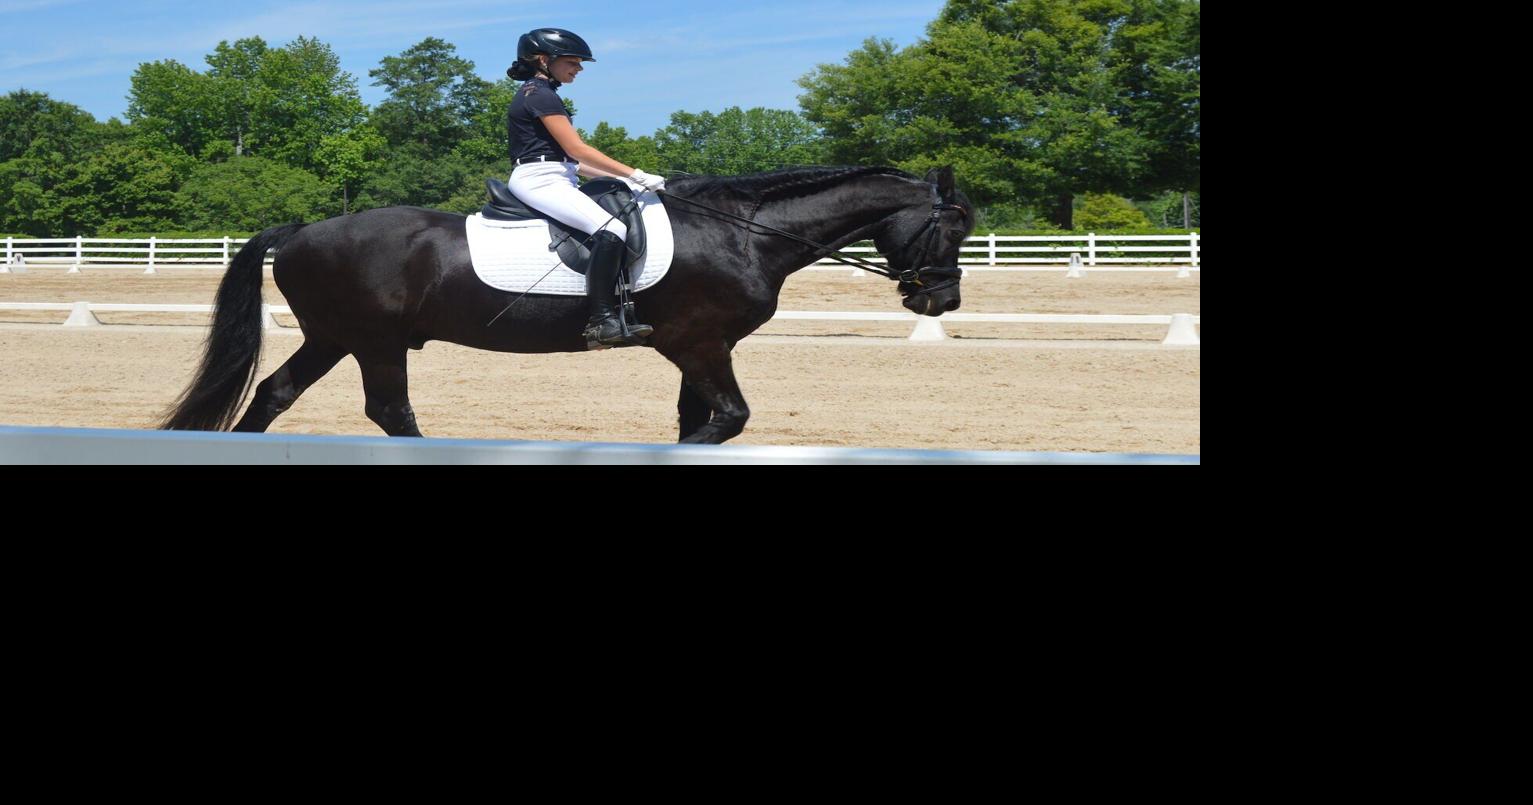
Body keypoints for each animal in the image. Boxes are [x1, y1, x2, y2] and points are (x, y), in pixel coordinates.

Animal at [159, 165, 974, 444]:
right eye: (954, 224)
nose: (942, 299)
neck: (740, 232)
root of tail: (301, 229)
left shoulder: (698, 348)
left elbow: (696, 423)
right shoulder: (699, 343)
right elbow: (728, 418)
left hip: (332, 336)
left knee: (273, 395)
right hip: (374, 340)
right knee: (389, 410)